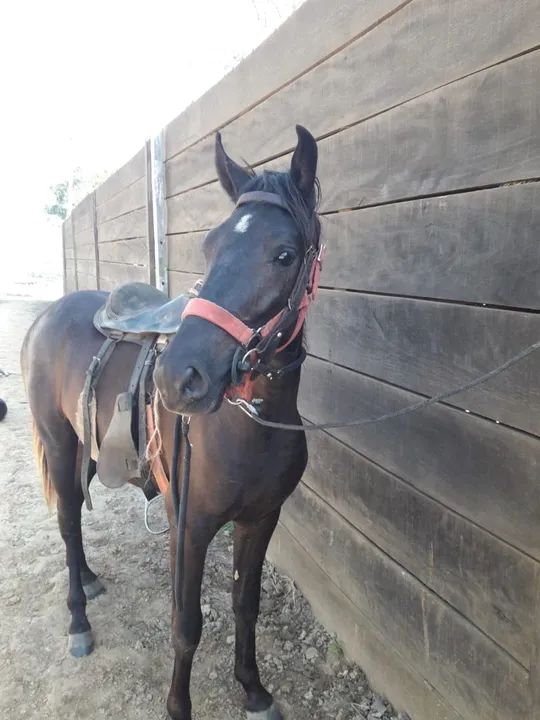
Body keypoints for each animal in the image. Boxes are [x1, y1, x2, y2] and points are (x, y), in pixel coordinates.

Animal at [21, 124, 322, 720]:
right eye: (209, 247)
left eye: (284, 254)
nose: (178, 378)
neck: (252, 424)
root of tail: (46, 316)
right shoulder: (191, 527)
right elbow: (187, 626)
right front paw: (178, 706)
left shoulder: (260, 521)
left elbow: (245, 605)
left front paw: (253, 689)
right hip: (59, 442)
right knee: (67, 521)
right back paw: (77, 619)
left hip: (87, 448)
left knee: (76, 516)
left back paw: (89, 578)